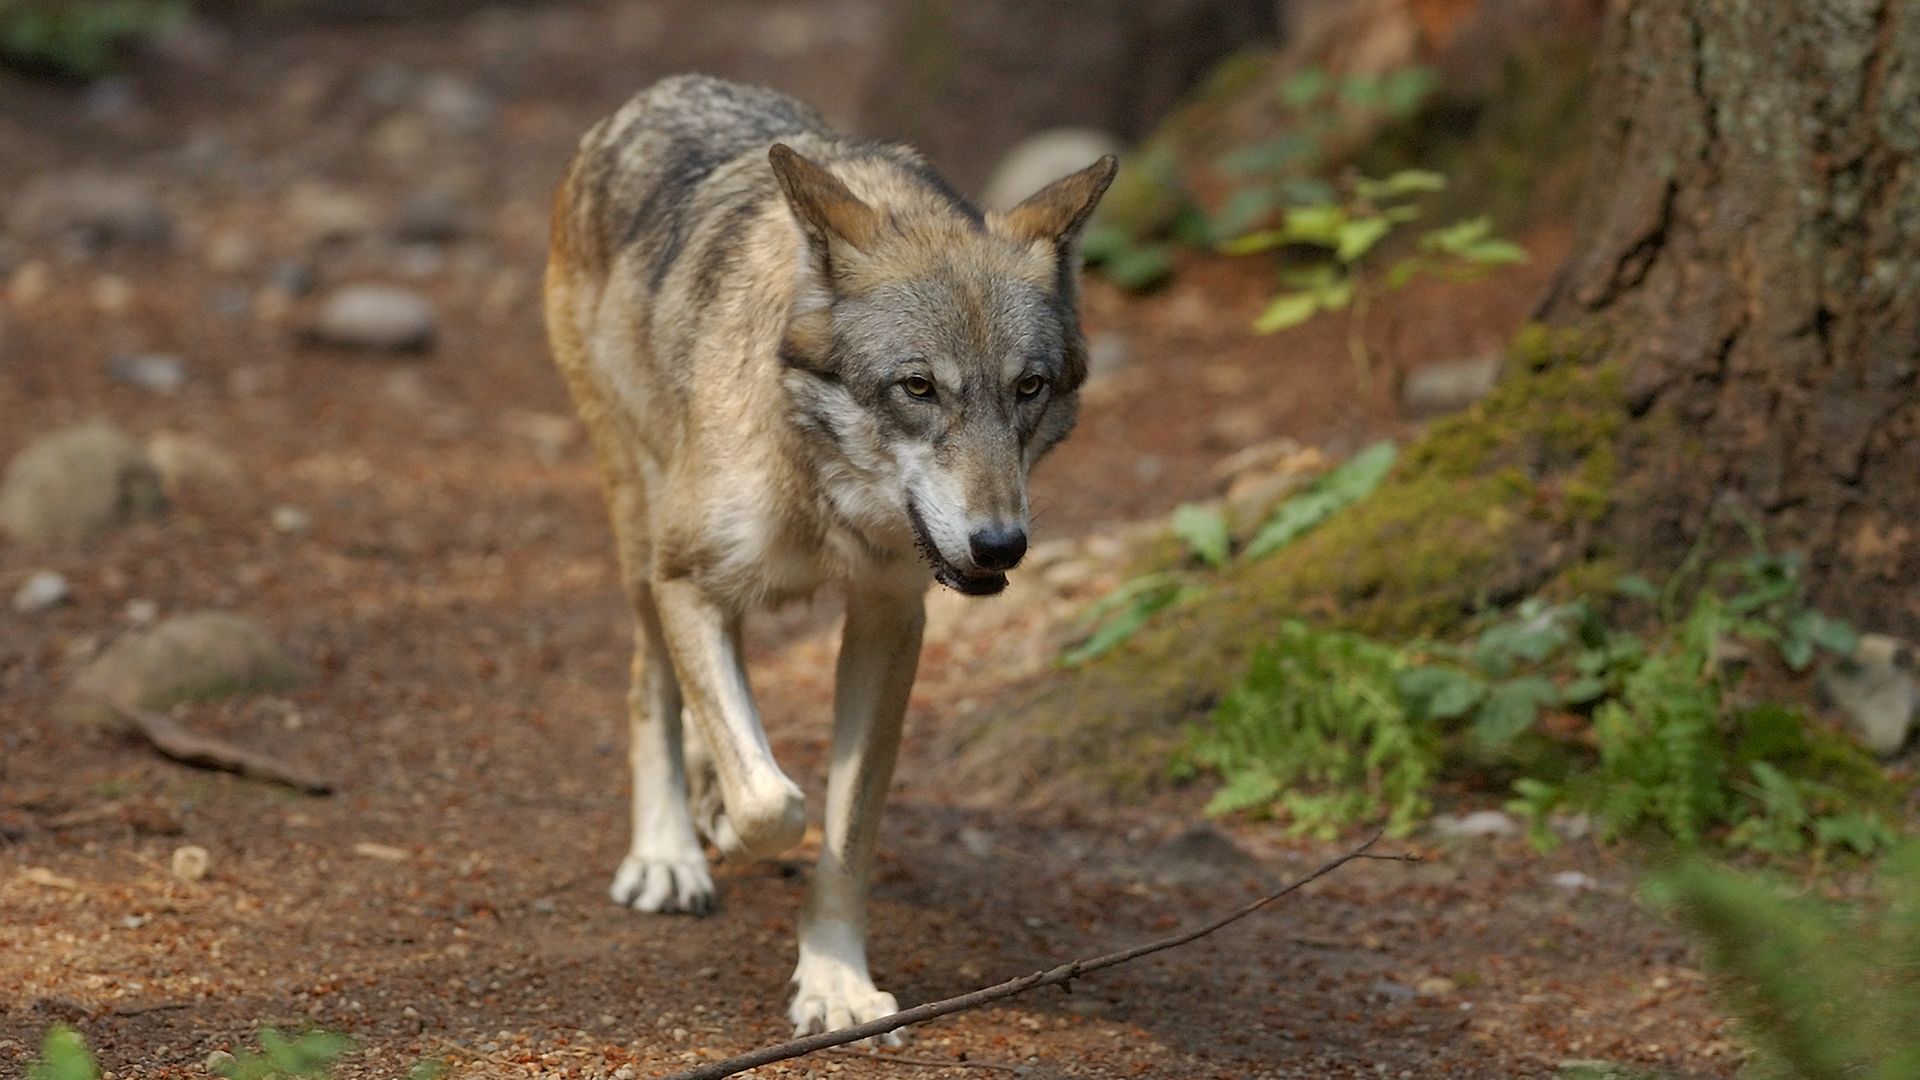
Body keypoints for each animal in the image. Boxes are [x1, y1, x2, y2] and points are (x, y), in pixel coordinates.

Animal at [543, 74, 1114, 1037]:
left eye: (1027, 388)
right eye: (918, 387)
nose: (1000, 543)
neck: (825, 492)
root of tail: (656, 94)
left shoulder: (890, 621)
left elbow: (845, 833)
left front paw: (835, 983)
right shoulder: (688, 579)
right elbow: (774, 803)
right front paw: (726, 822)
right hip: (641, 533)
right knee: (650, 681)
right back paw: (669, 850)